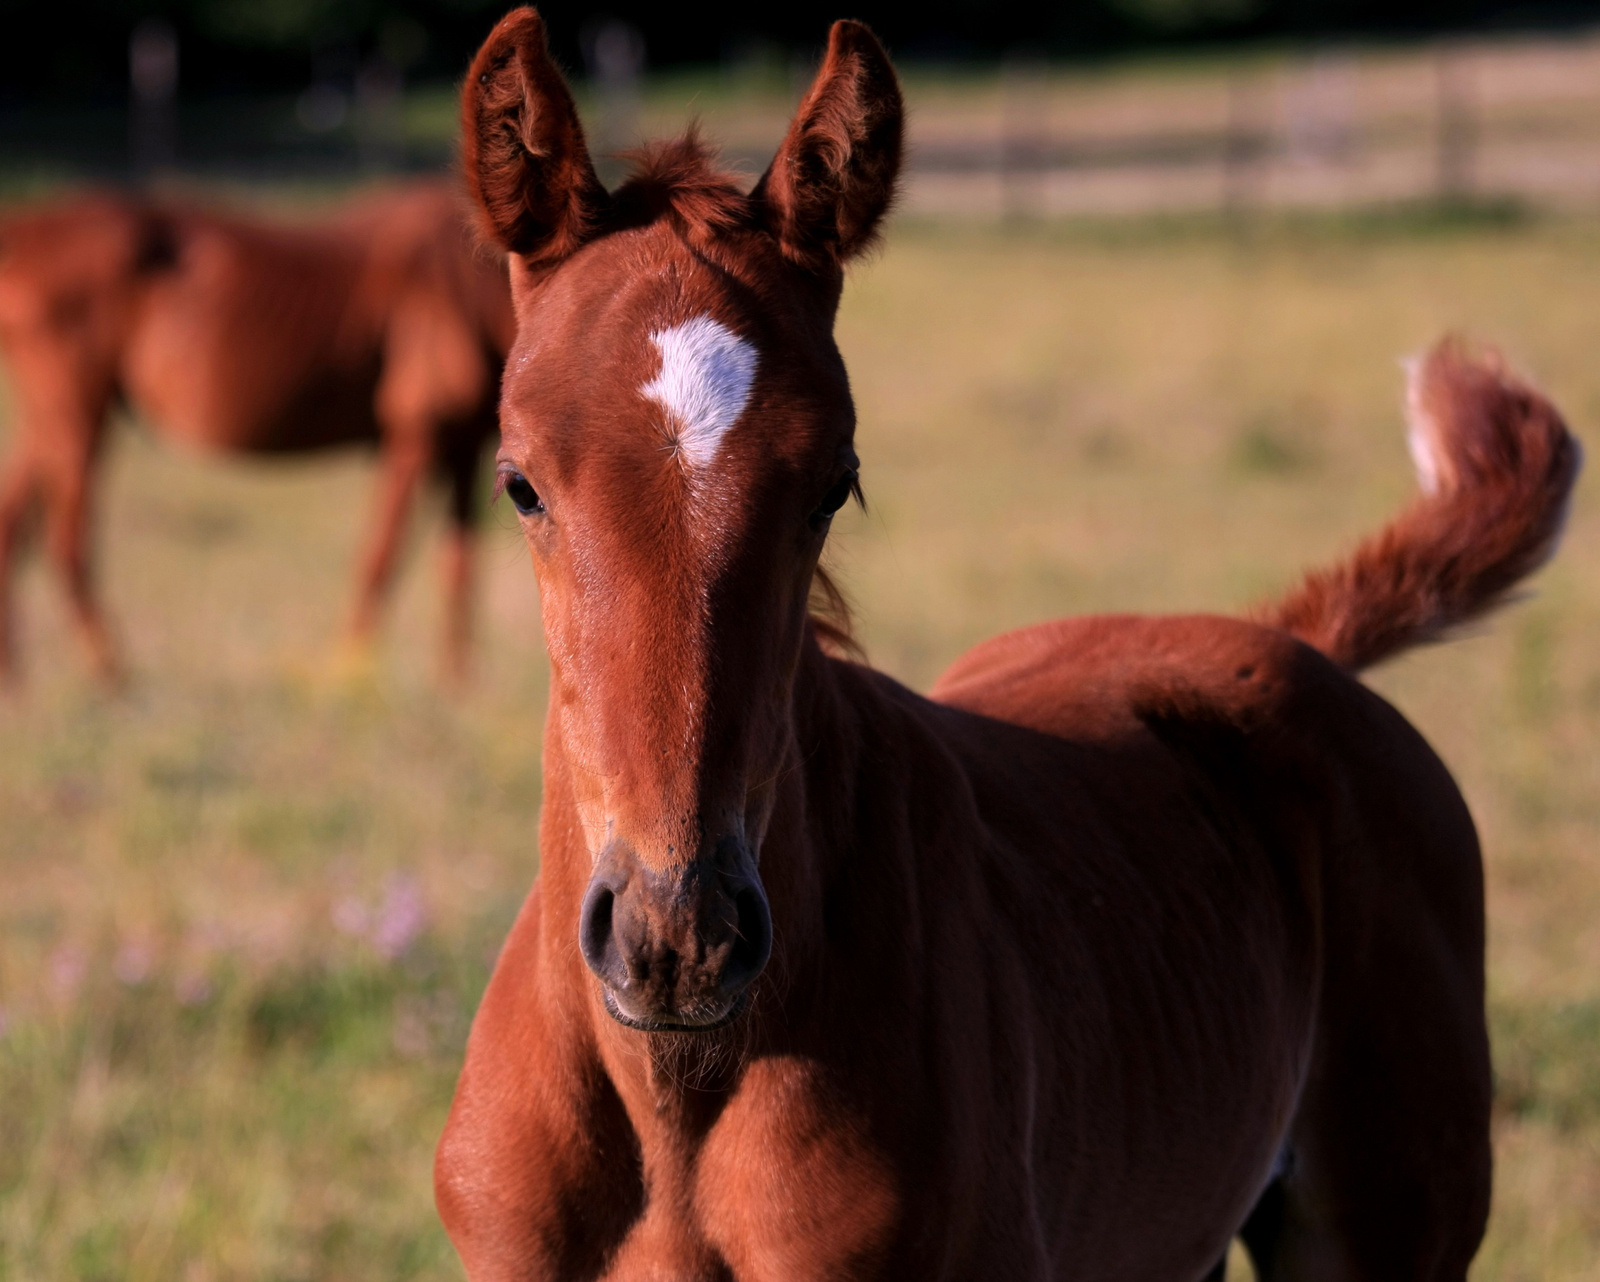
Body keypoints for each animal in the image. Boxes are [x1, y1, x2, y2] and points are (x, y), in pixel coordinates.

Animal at [0, 181, 512, 685]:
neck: (473, 288)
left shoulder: (464, 446)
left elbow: (459, 564)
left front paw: (458, 685)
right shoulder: (416, 434)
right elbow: (381, 558)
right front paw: (348, 673)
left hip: (51, 420)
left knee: (15, 525)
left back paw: (20, 677)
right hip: (74, 413)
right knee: (66, 545)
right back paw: (109, 673)